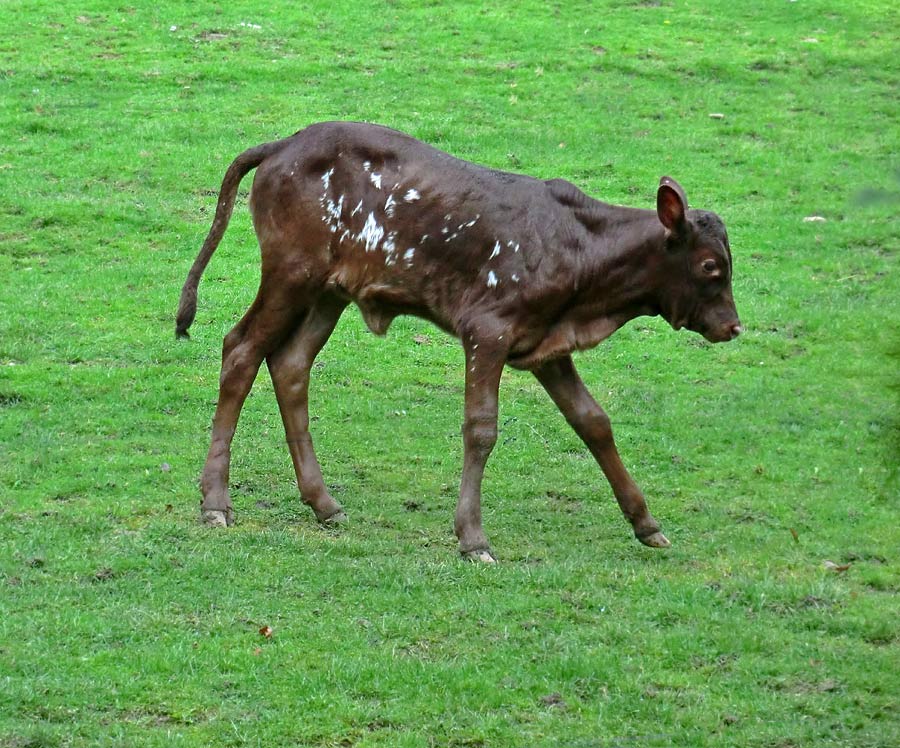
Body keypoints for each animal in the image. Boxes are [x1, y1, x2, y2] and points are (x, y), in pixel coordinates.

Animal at [176, 121, 740, 560]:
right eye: (710, 266)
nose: (733, 326)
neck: (581, 259)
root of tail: (284, 143)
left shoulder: (545, 347)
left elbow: (593, 422)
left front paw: (646, 524)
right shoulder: (487, 330)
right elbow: (481, 429)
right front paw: (473, 537)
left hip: (327, 293)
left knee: (290, 364)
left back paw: (324, 503)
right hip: (292, 273)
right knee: (241, 349)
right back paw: (216, 502)